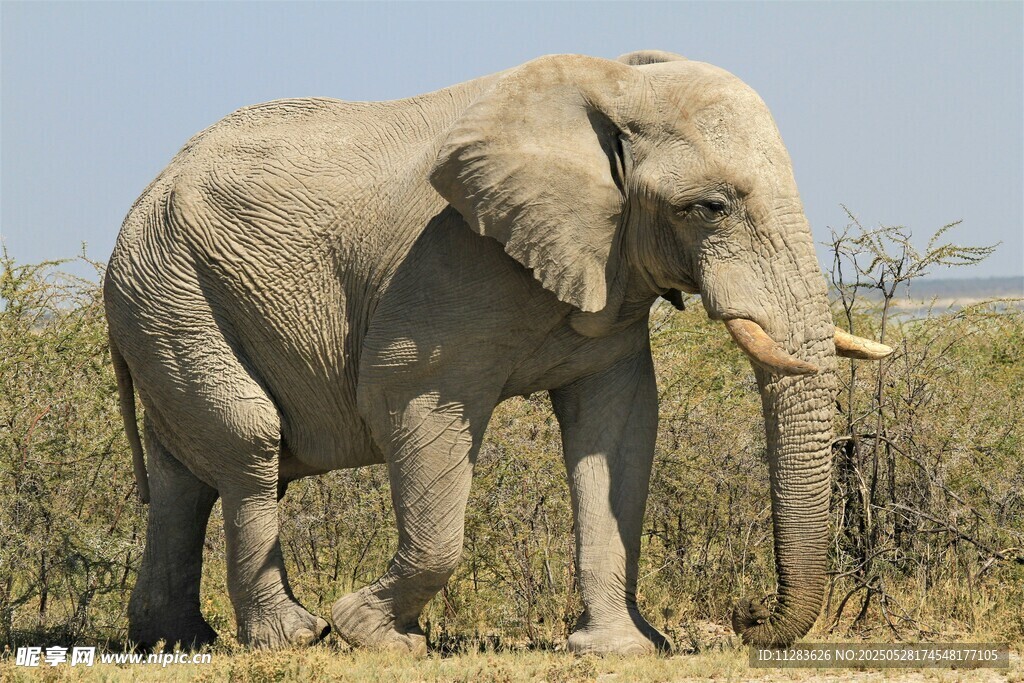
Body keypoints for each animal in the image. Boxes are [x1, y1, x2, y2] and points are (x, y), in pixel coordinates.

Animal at [103, 49, 891, 654]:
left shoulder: (607, 271)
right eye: (709, 208)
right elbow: (410, 401)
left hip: (164, 302)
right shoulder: (446, 263)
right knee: (248, 440)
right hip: (171, 293)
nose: (745, 616)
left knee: (183, 479)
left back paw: (174, 641)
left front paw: (622, 650)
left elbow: (619, 424)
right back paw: (291, 637)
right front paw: (372, 635)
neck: (614, 84)